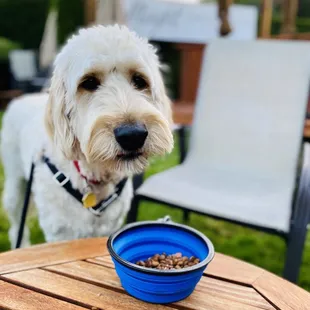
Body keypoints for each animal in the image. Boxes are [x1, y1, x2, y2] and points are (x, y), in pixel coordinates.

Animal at [0, 24, 174, 248]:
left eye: (139, 80)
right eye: (89, 82)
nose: (132, 135)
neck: (95, 179)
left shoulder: (110, 225)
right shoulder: (60, 234)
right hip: (15, 186)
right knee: (15, 225)